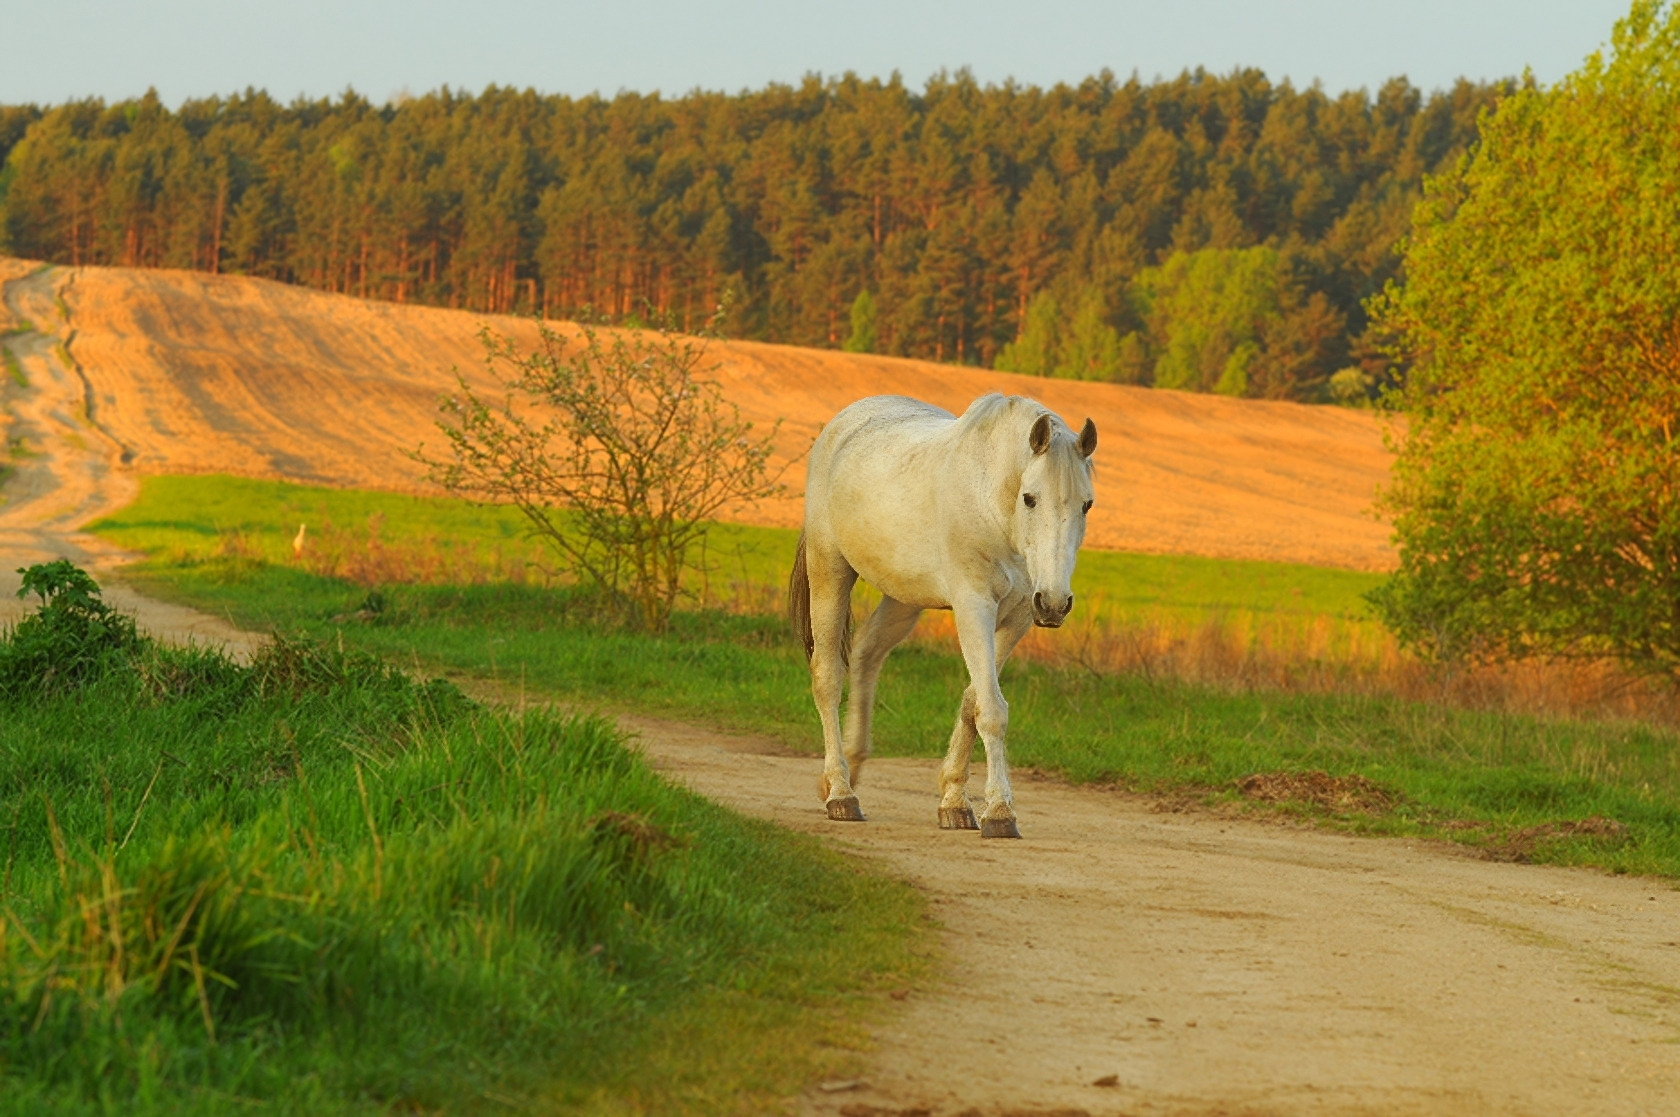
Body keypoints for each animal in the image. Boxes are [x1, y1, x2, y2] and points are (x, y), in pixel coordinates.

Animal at [789, 391, 1102, 836]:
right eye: (1030, 498)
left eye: (1086, 504)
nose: (1055, 604)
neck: (991, 503)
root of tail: (843, 421)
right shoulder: (974, 607)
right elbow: (991, 710)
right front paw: (999, 812)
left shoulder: (1018, 618)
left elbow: (974, 702)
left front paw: (954, 801)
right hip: (829, 569)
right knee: (827, 677)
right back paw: (840, 793)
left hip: (903, 597)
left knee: (867, 652)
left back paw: (852, 766)